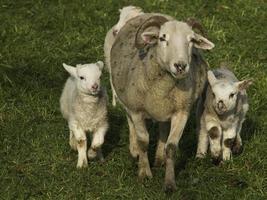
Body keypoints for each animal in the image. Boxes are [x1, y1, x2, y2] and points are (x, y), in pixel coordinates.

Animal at [109, 13, 216, 191]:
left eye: (191, 40)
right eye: (162, 38)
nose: (180, 66)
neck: (162, 89)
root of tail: (144, 14)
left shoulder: (181, 112)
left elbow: (171, 147)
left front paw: (169, 183)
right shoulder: (137, 111)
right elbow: (143, 142)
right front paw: (144, 173)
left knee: (163, 128)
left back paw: (159, 159)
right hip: (126, 101)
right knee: (130, 121)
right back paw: (134, 151)